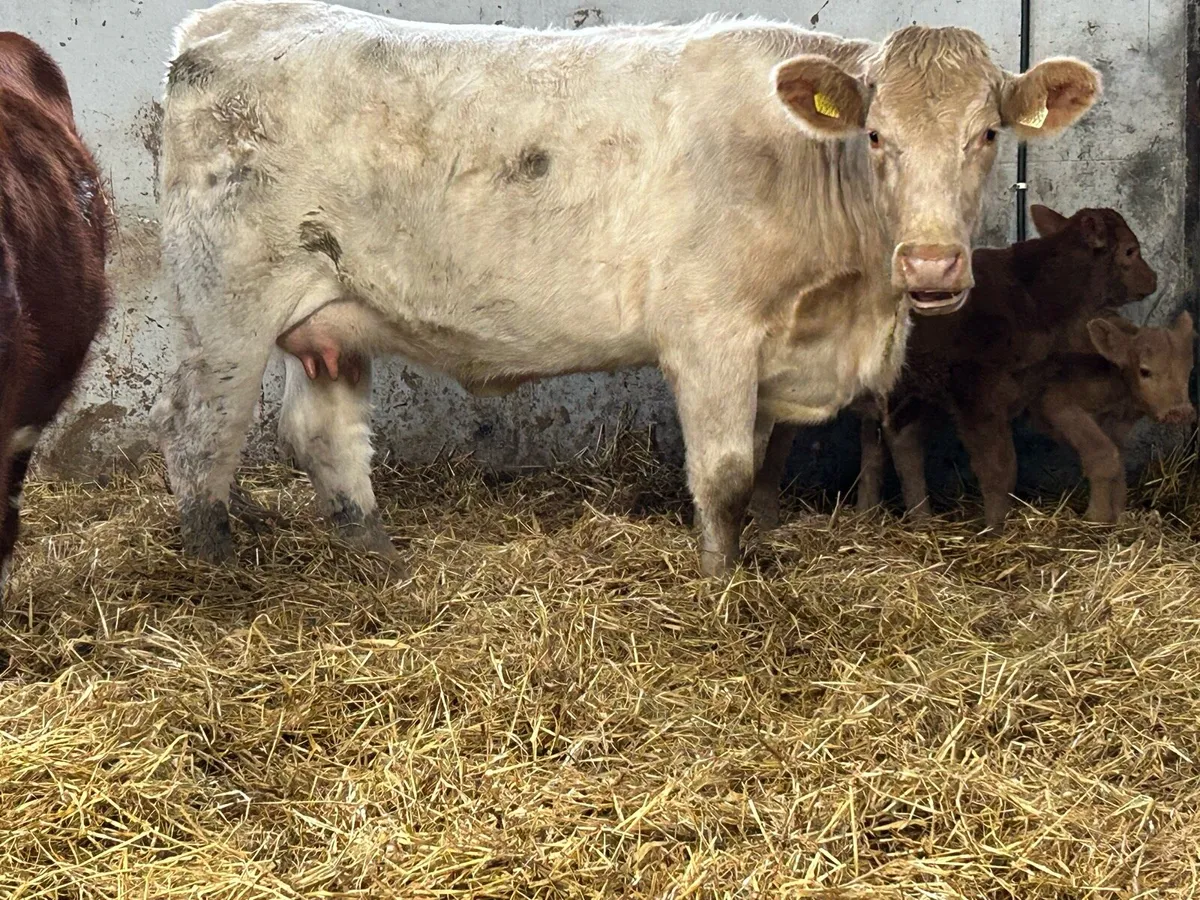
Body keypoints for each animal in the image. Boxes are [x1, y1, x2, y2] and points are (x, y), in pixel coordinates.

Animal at [151, 0, 1100, 576]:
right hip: (222, 307)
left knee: (324, 437)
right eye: (876, 135)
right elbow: (722, 474)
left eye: (987, 134)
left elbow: (755, 467)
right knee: (200, 439)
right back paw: (220, 572)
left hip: (330, 316)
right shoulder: (711, 334)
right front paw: (719, 587)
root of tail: (237, 19)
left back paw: (382, 560)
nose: (932, 265)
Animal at [751, 205, 1158, 528]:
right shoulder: (977, 393)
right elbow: (999, 466)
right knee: (776, 445)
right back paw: (766, 518)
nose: (1153, 279)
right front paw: (996, 529)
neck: (1035, 295)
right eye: (1130, 250)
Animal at [1029, 311, 1195, 523]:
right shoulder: (1056, 402)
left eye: (1189, 368)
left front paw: (1117, 514)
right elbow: (1104, 455)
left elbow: (1119, 462)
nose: (1180, 411)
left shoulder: (1120, 420)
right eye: (1144, 371)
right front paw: (1097, 517)